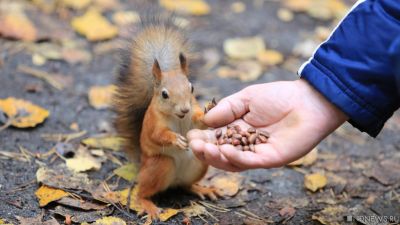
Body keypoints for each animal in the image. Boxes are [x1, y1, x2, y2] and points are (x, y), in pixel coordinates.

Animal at [112, 16, 219, 220]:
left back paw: (201, 188)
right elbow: (157, 135)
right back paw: (149, 206)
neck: (178, 118)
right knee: (141, 192)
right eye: (164, 94)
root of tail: (142, 163)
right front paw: (175, 139)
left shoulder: (192, 115)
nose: (185, 108)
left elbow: (199, 123)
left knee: (186, 185)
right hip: (160, 166)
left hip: (198, 164)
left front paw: (209, 109)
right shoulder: (154, 123)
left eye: (191, 88)